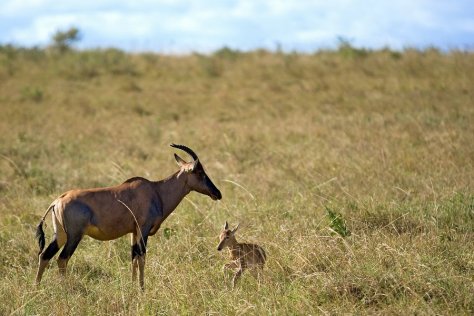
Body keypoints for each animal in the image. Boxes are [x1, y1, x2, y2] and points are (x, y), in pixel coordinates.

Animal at [34, 144, 223, 290]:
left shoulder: (134, 232)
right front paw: (141, 288)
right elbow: (142, 257)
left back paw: (36, 287)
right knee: (62, 259)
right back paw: (63, 288)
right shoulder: (143, 230)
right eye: (199, 172)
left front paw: (133, 287)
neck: (156, 190)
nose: (217, 193)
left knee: (44, 255)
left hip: (60, 234)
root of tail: (58, 200)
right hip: (74, 236)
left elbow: (133, 258)